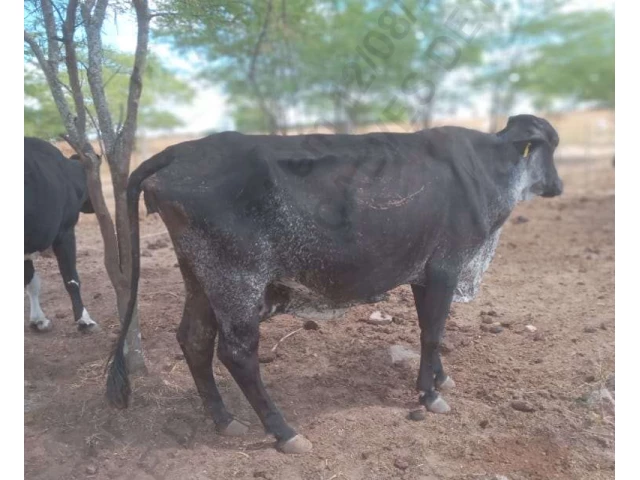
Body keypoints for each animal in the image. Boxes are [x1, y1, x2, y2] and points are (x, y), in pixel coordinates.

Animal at [24, 137, 98, 332]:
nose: (94, 206)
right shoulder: (65, 232)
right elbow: (71, 279)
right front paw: (84, 319)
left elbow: (31, 281)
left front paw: (38, 320)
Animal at [106, 114, 563, 454]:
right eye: (549, 148)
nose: (558, 186)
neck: (487, 169)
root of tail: (176, 151)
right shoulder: (446, 268)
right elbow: (434, 333)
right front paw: (429, 396)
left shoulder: (422, 273)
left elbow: (428, 331)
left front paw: (439, 379)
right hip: (237, 282)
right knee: (236, 354)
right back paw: (285, 432)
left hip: (200, 279)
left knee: (194, 339)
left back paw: (224, 420)